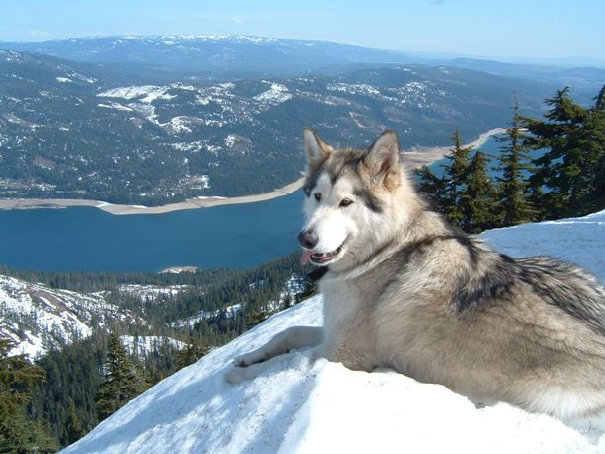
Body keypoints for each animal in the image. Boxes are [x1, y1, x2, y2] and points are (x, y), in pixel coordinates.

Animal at [231, 127, 604, 418]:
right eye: (317, 196)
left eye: (346, 202)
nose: (304, 239)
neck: (386, 250)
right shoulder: (333, 333)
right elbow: (288, 332)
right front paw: (248, 357)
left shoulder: (343, 354)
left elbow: (283, 365)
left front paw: (243, 377)